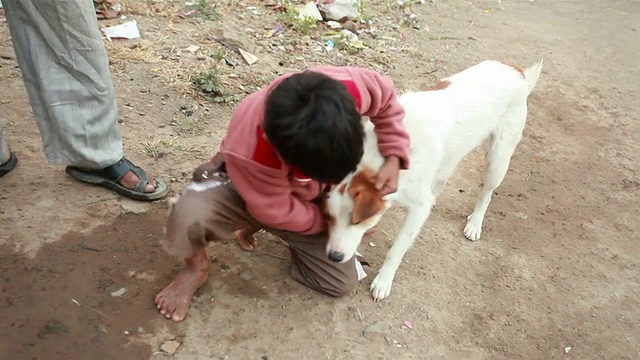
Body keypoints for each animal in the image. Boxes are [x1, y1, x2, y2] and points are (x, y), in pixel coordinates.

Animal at [322, 58, 544, 300]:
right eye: (329, 217)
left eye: (357, 221)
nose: (333, 257)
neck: (384, 155)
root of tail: (516, 70)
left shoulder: (417, 208)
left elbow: (397, 249)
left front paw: (384, 280)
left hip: (498, 160)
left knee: (486, 193)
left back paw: (475, 223)